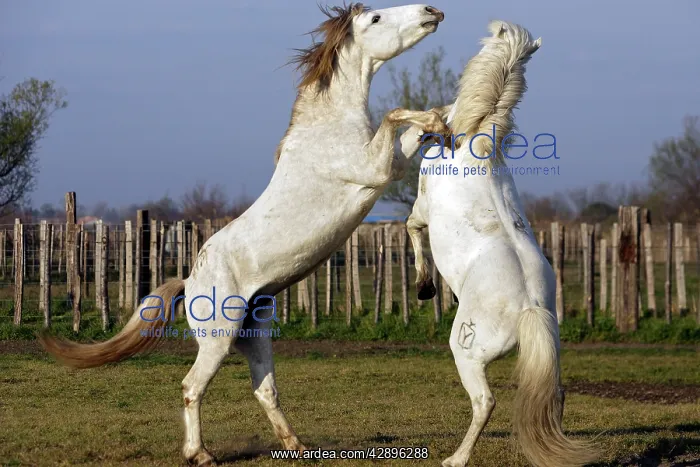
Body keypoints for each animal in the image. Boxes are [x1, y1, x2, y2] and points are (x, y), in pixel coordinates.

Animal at [39, 4, 450, 466]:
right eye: (376, 18)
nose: (432, 11)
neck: (328, 129)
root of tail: (188, 280)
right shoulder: (377, 169)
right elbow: (396, 115)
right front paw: (436, 117)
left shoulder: (389, 163)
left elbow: (410, 128)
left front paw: (442, 115)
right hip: (217, 340)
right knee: (192, 386)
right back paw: (200, 454)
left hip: (255, 337)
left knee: (264, 389)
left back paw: (296, 446)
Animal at [404, 21, 599, 467]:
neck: (474, 144)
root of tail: (528, 309)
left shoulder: (422, 208)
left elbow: (412, 229)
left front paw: (424, 287)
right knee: (556, 397)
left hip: (466, 353)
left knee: (485, 402)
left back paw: (456, 458)